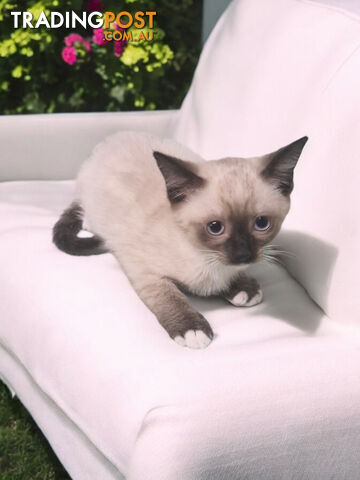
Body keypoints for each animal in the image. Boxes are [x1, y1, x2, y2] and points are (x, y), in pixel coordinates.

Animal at [52, 131, 306, 348]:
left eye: (261, 223)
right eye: (215, 227)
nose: (243, 255)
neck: (206, 259)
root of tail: (106, 143)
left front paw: (244, 288)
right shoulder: (145, 272)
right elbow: (170, 298)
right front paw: (192, 330)